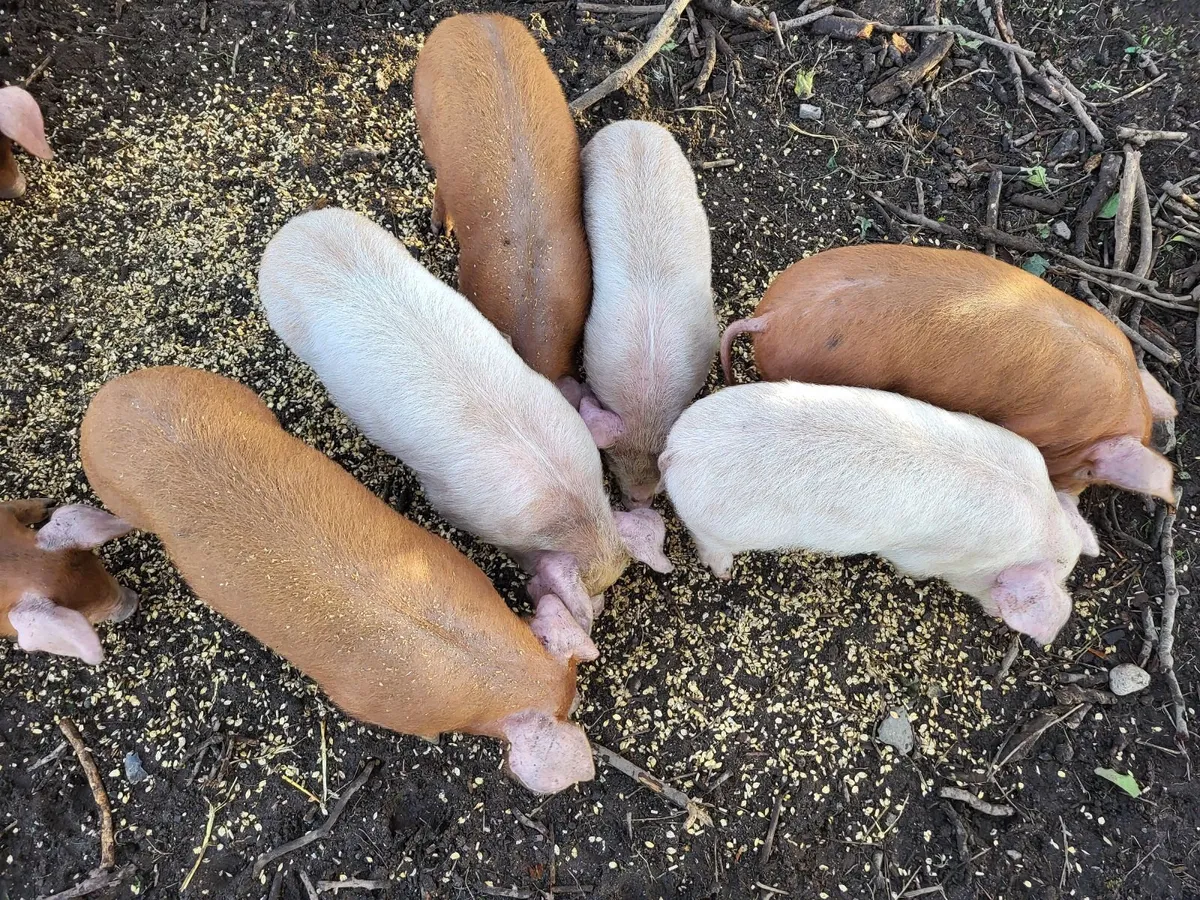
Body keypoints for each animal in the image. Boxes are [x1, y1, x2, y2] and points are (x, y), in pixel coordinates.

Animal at [81, 366, 599, 794]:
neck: (482, 666)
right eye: (571, 707)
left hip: (224, 394)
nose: (574, 699)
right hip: (120, 492)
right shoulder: (368, 701)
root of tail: (106, 400)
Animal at [660, 381, 1101, 644]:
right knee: (708, 543)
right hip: (720, 526)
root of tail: (676, 449)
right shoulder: (923, 557)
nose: (998, 617)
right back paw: (723, 571)